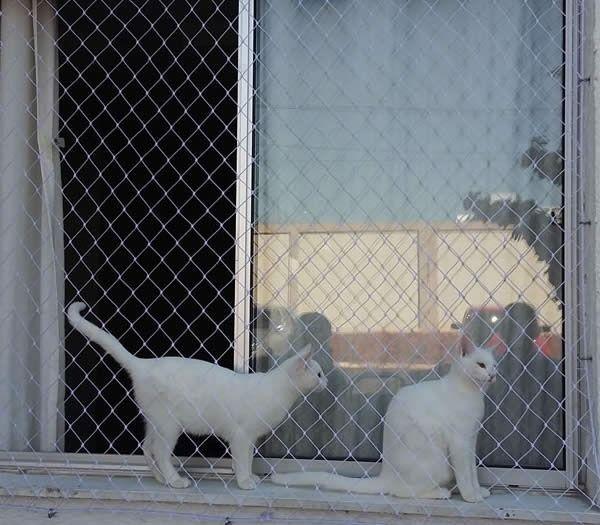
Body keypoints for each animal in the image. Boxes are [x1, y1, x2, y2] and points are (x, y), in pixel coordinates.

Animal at [67, 300, 326, 490]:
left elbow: (247, 459)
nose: (326, 382)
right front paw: (245, 482)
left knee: (147, 447)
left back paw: (161, 479)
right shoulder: (241, 436)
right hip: (169, 425)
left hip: (155, 422)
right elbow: (242, 460)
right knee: (160, 452)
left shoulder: (250, 438)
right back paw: (175, 480)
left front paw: (248, 476)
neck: (276, 389)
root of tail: (144, 364)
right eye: (319, 374)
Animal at [272, 346, 496, 502]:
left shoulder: (471, 441)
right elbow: (465, 474)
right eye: (480, 365)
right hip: (436, 461)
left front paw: (478, 491)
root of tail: (386, 473)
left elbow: (472, 471)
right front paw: (471, 497)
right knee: (401, 491)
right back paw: (441, 492)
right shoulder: (460, 442)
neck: (471, 393)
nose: (493, 375)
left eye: (494, 365)